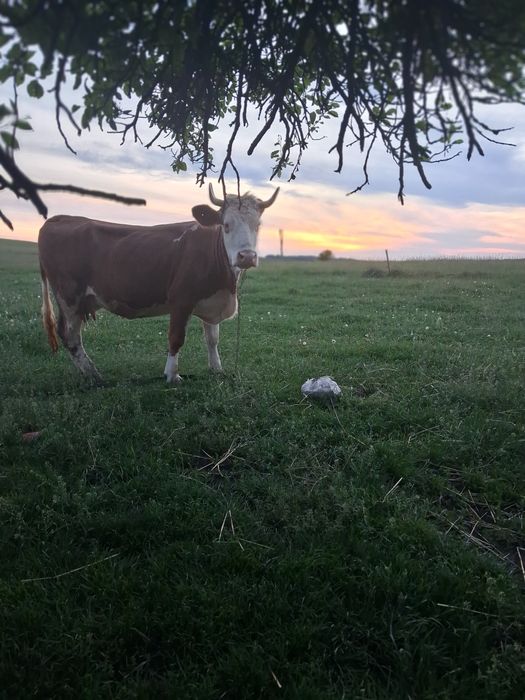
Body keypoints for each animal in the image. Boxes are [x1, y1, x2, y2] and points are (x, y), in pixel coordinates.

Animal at [38, 184, 279, 384]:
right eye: (226, 225)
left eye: (257, 225)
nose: (247, 256)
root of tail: (58, 219)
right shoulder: (181, 300)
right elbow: (176, 338)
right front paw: (172, 376)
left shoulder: (211, 300)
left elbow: (212, 339)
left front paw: (216, 369)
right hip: (69, 297)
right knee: (70, 336)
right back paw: (93, 375)